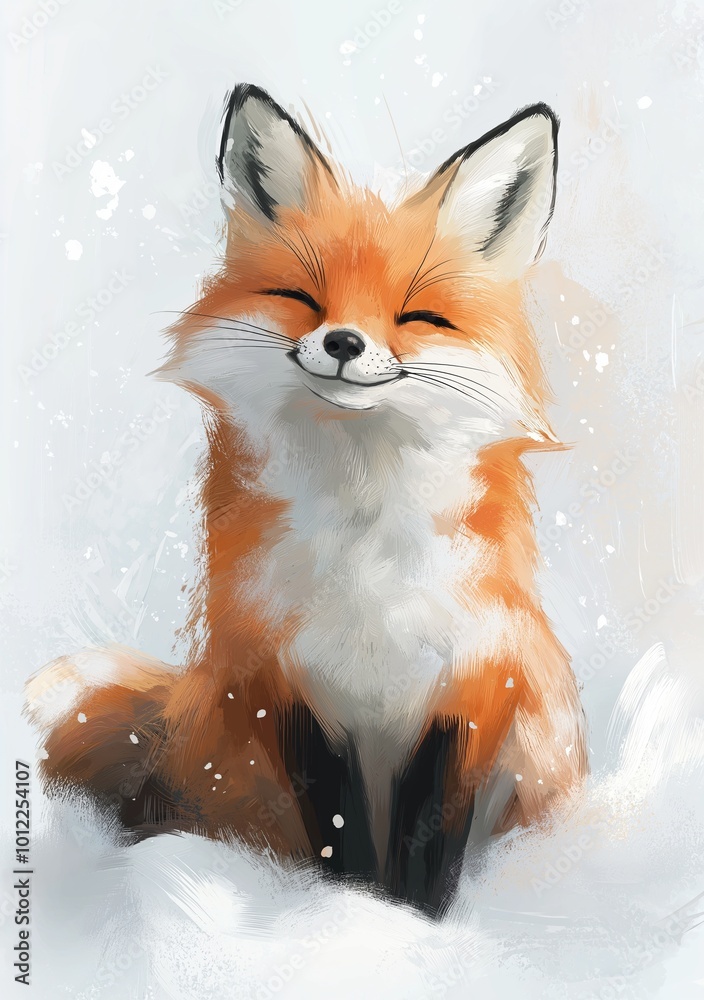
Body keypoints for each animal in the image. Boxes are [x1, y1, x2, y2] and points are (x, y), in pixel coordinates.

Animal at [26, 84, 588, 915]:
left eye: (419, 315)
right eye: (302, 298)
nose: (345, 343)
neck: (366, 552)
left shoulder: (471, 685)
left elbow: (429, 843)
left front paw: (415, 924)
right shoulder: (288, 686)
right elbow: (339, 832)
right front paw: (350, 914)